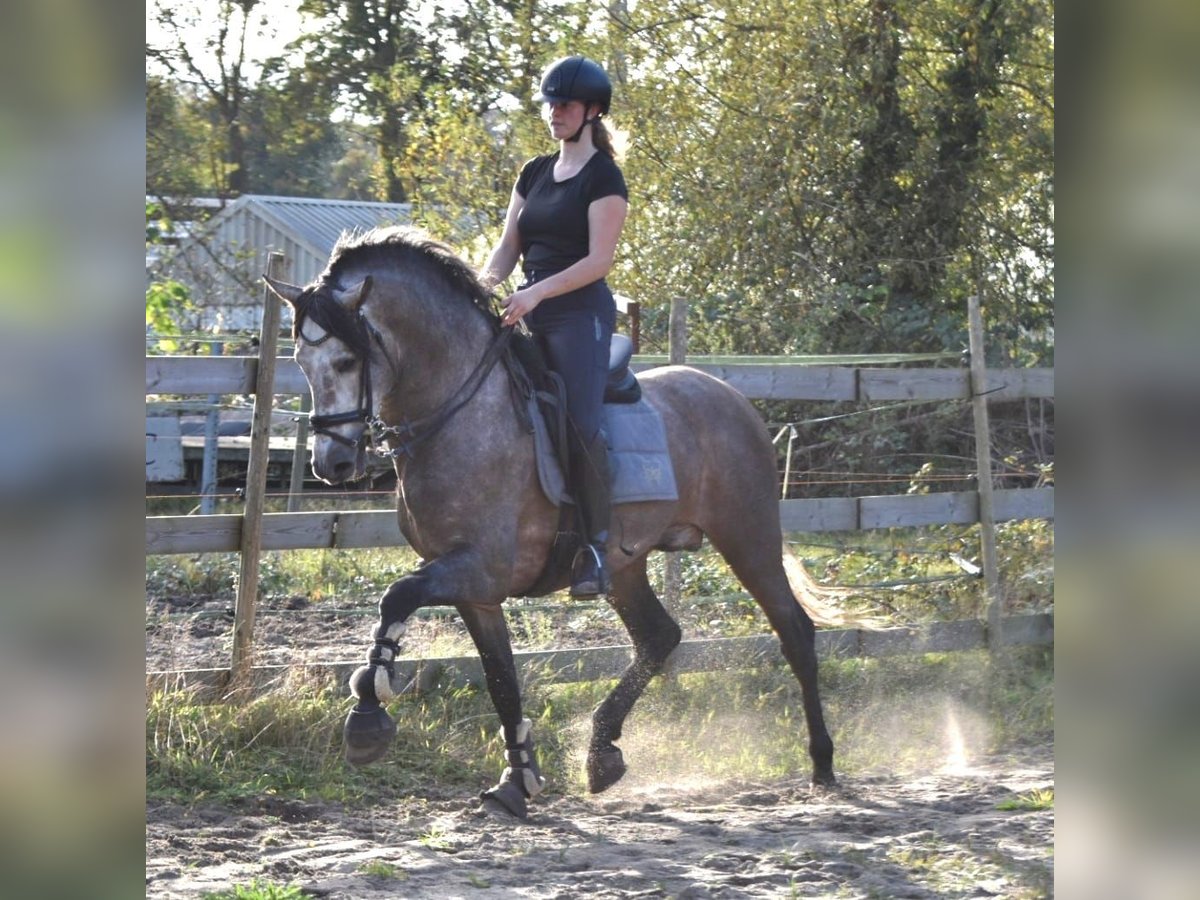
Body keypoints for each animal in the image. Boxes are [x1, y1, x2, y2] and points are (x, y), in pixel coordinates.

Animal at [262, 225, 835, 816]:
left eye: (346, 362)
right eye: (302, 363)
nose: (332, 464)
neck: (461, 411)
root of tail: (731, 396)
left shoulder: (480, 566)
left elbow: (396, 597)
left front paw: (367, 718)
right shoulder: (476, 590)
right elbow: (501, 679)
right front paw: (519, 780)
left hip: (747, 535)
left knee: (794, 631)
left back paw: (822, 764)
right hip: (625, 565)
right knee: (659, 636)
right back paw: (602, 755)